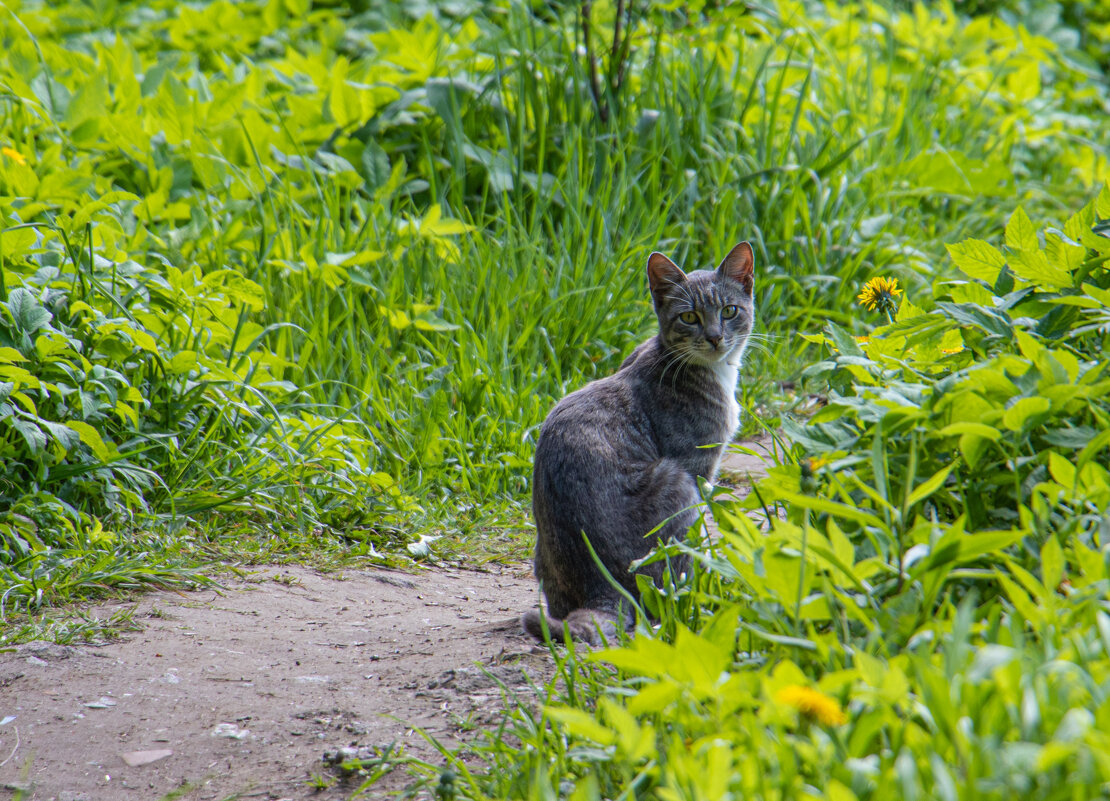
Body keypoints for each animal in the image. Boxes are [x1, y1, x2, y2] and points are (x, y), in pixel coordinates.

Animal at [519, 241, 754, 643]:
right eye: (689, 317)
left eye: (730, 311)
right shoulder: (698, 466)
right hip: (677, 484)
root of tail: (601, 587)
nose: (714, 337)